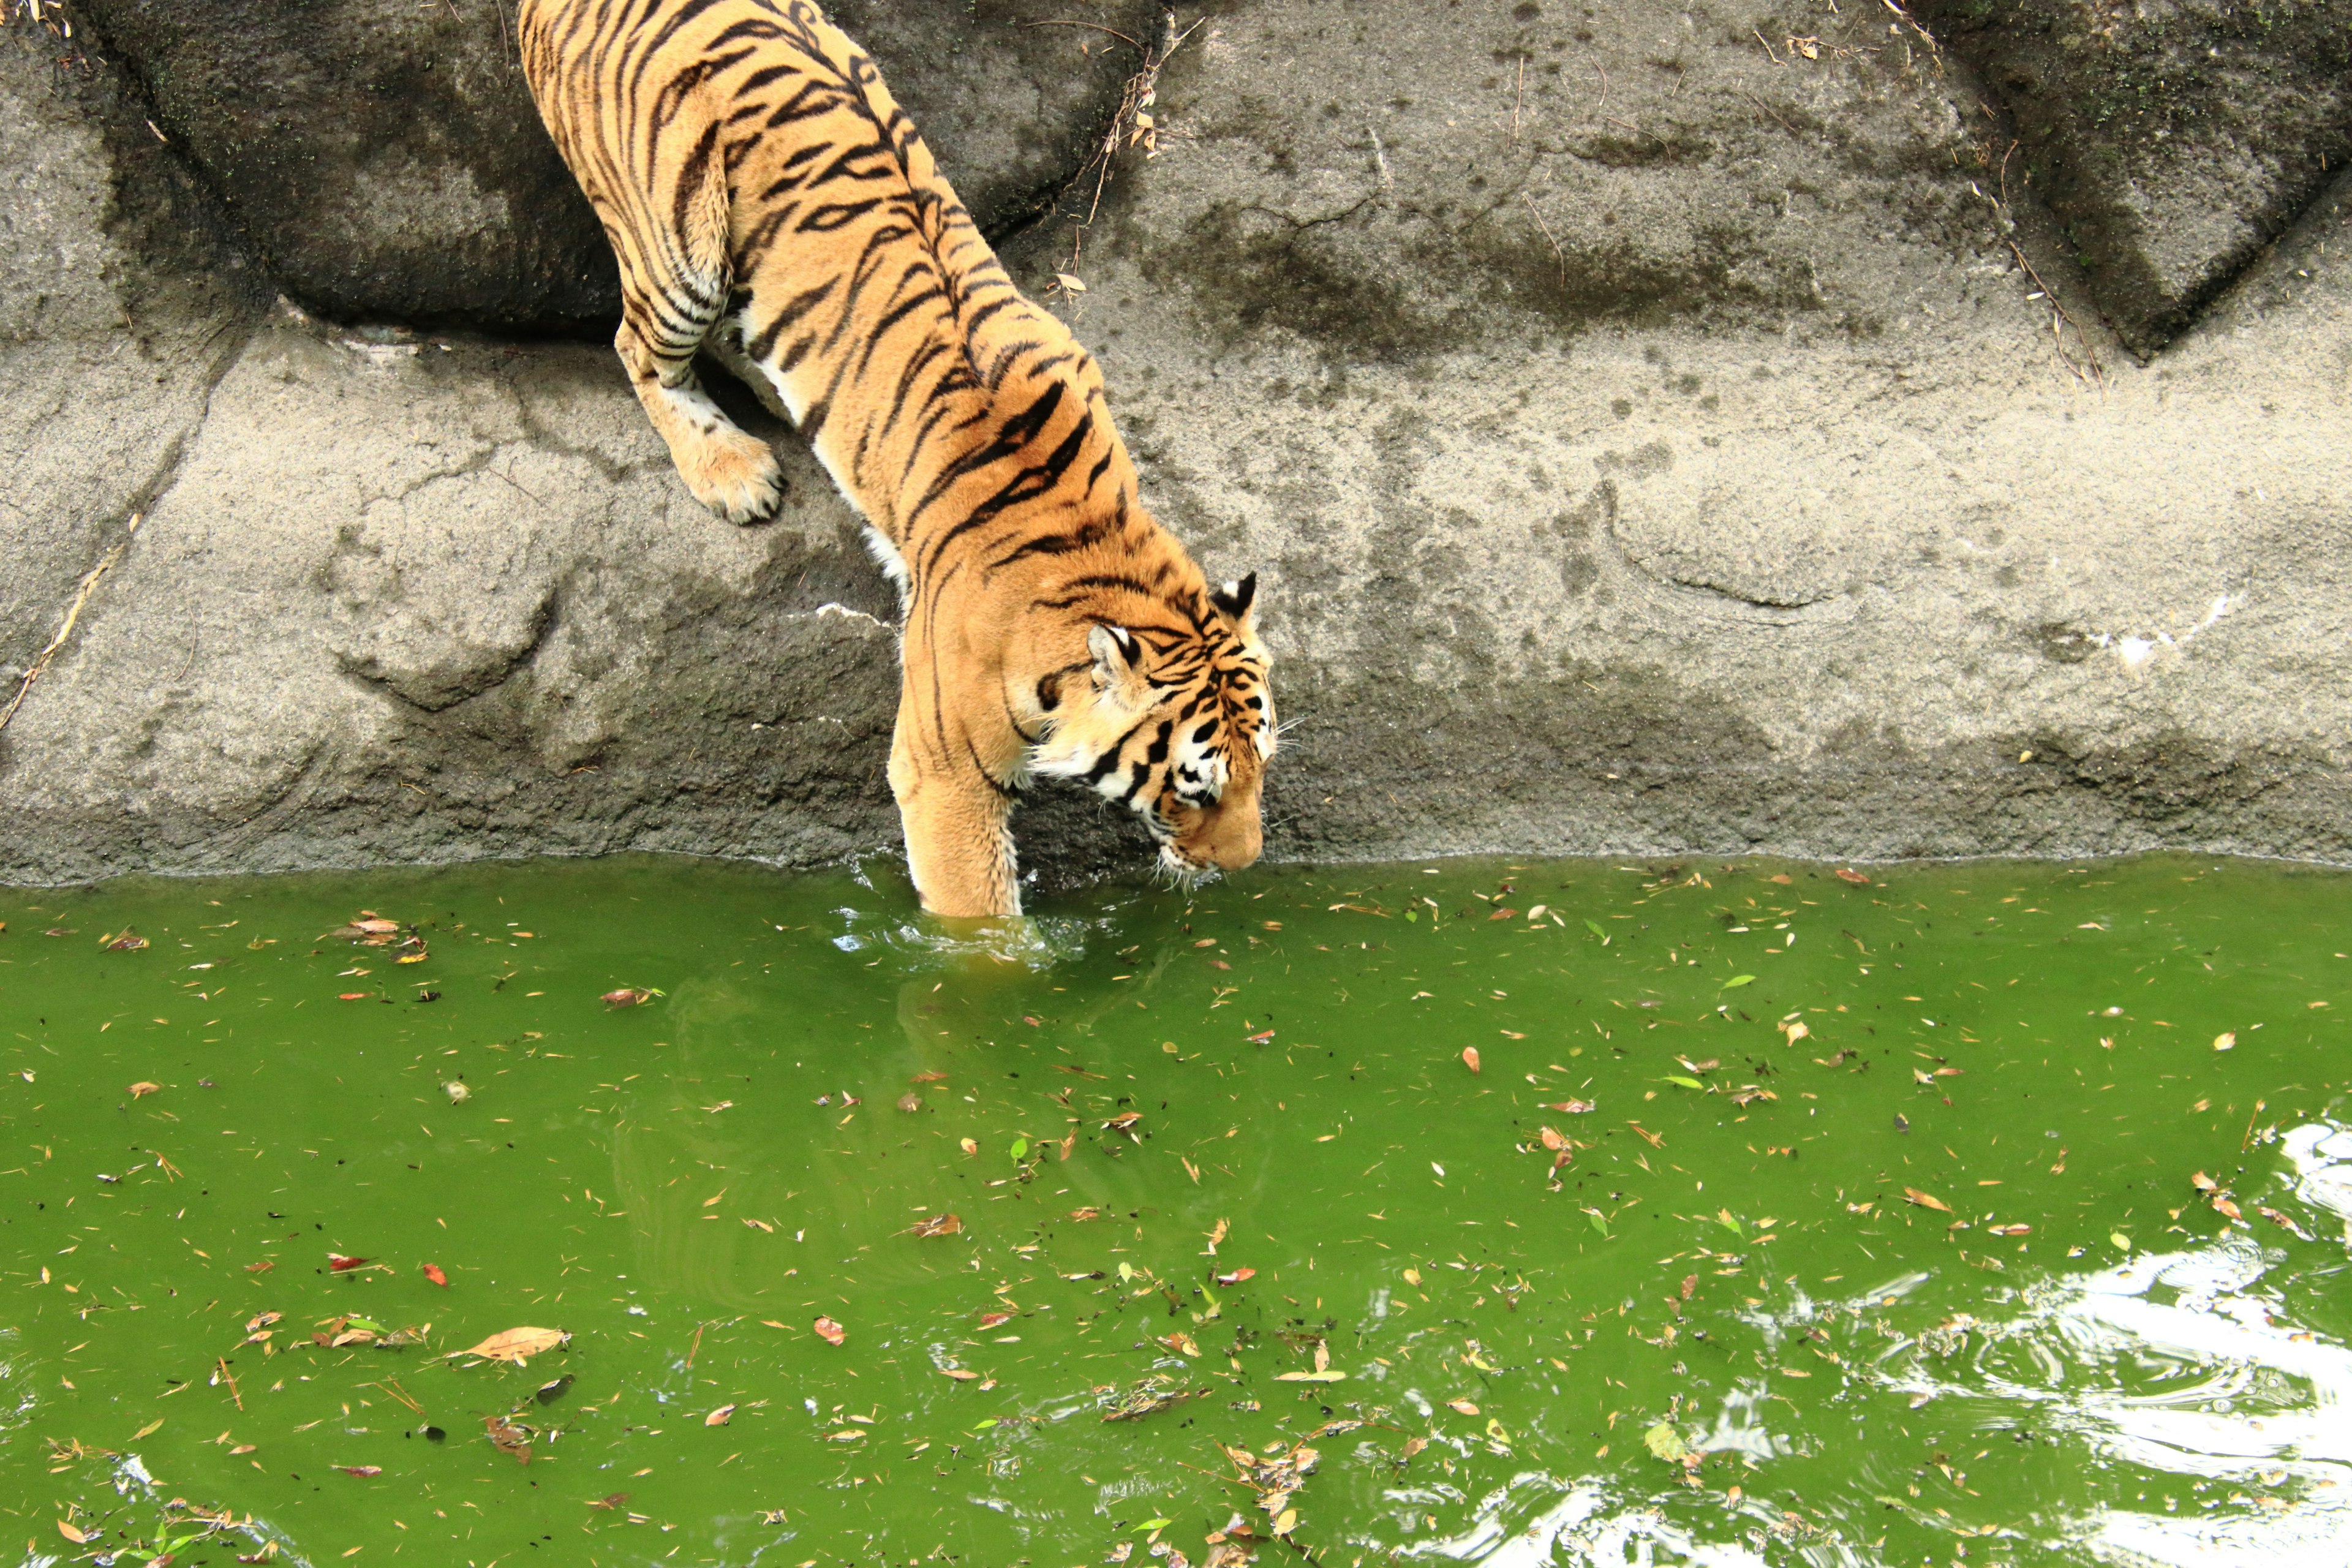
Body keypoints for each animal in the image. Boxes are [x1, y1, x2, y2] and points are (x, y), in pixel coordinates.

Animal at [522, 0, 1279, 921]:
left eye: (1261, 764)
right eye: (1193, 787)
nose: (1245, 864)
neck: (1098, 539)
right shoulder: (945, 768)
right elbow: (979, 926)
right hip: (678, 252)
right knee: (637, 345)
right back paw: (734, 471)